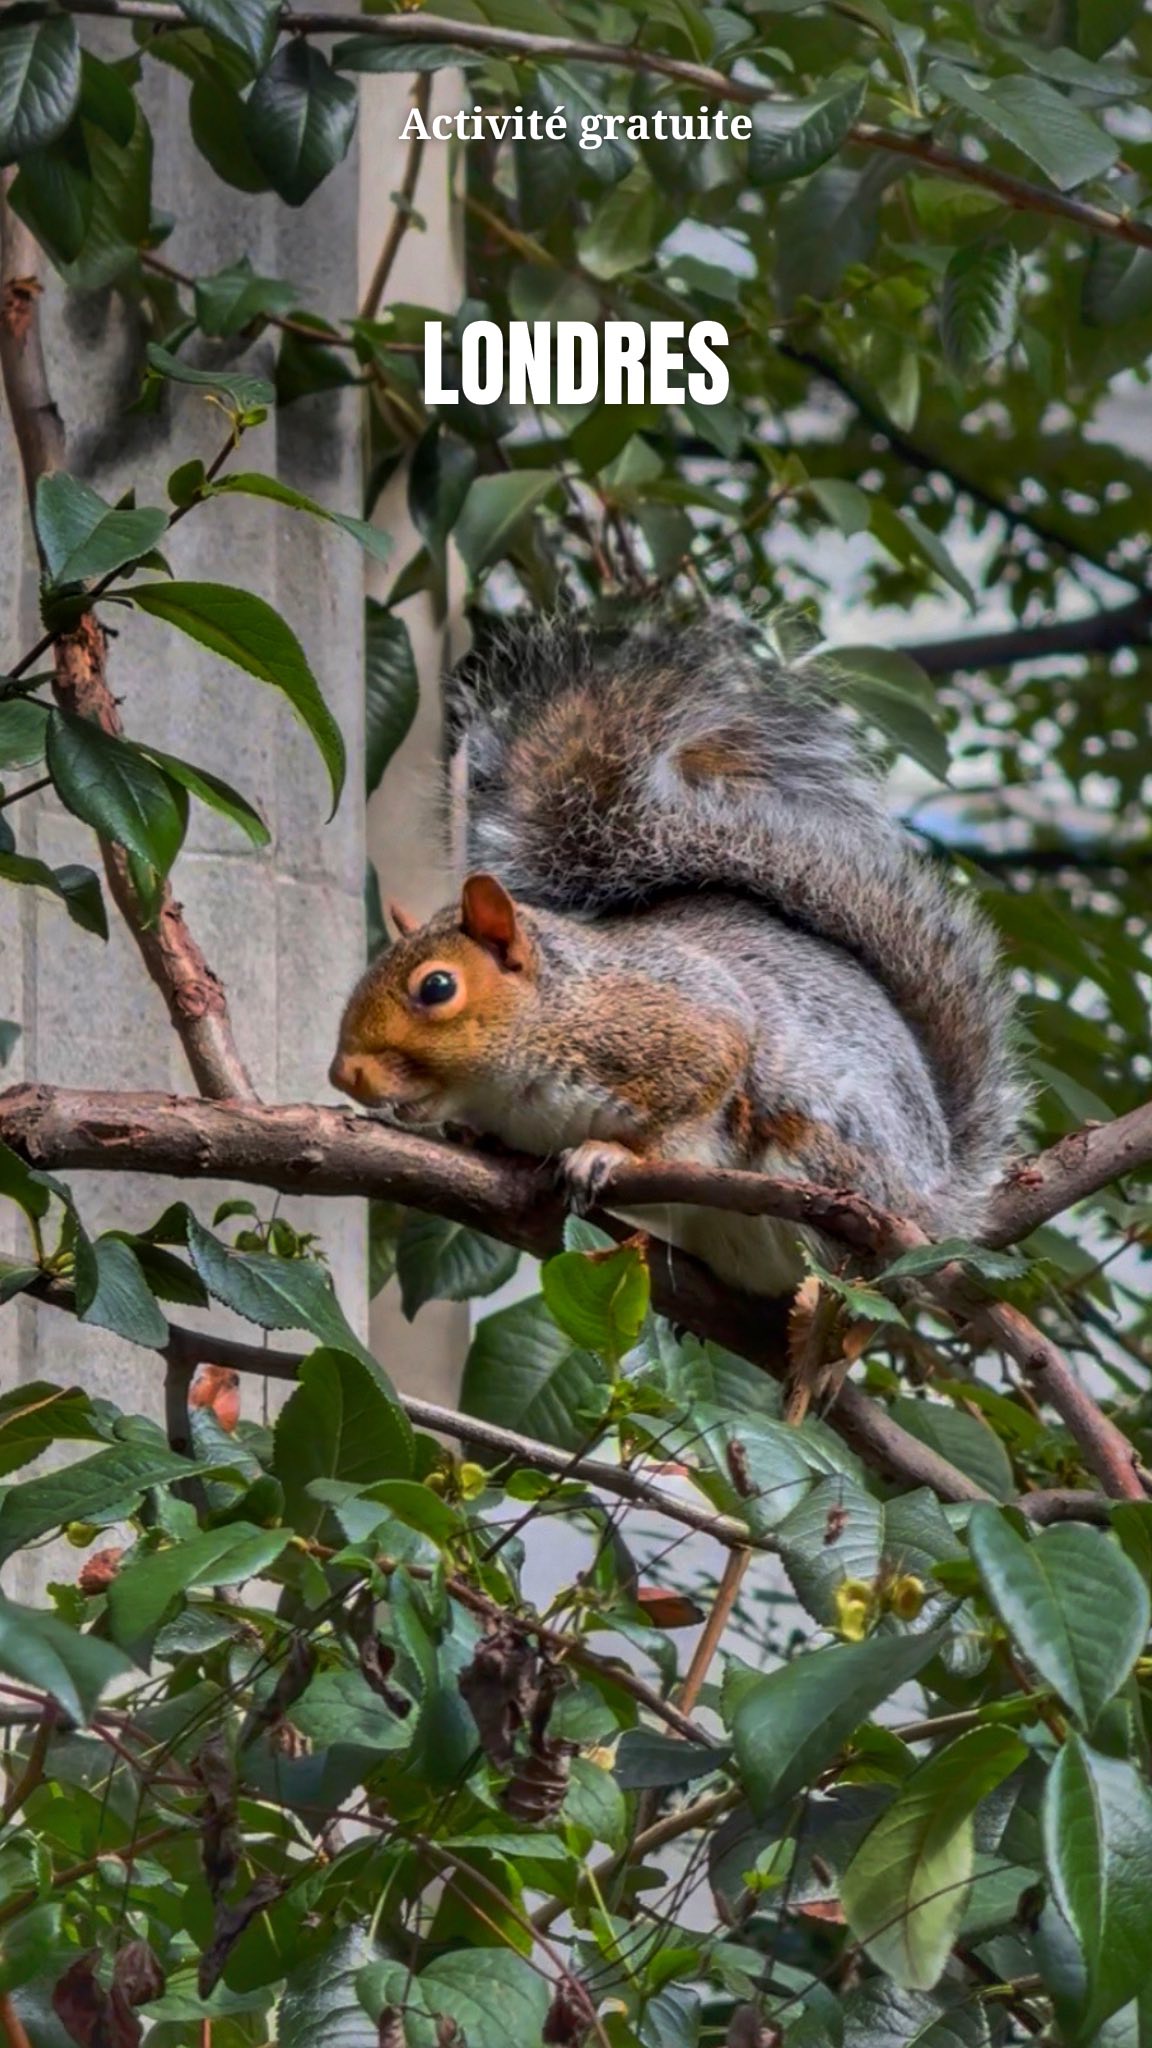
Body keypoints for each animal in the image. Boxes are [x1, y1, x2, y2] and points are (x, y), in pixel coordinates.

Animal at [330, 614, 1022, 1296]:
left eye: (437, 988)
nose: (344, 1075)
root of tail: (932, 1201)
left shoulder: (680, 1026)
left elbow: (688, 1109)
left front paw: (611, 1154)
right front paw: (473, 1135)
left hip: (826, 1143)